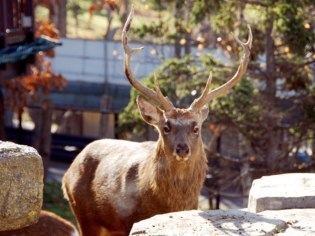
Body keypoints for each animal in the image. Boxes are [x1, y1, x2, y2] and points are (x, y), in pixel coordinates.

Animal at [63, 7, 253, 236]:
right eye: (166, 127)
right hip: (81, 211)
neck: (168, 203)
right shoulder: (127, 220)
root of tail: (68, 172)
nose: (182, 148)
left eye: (196, 127)